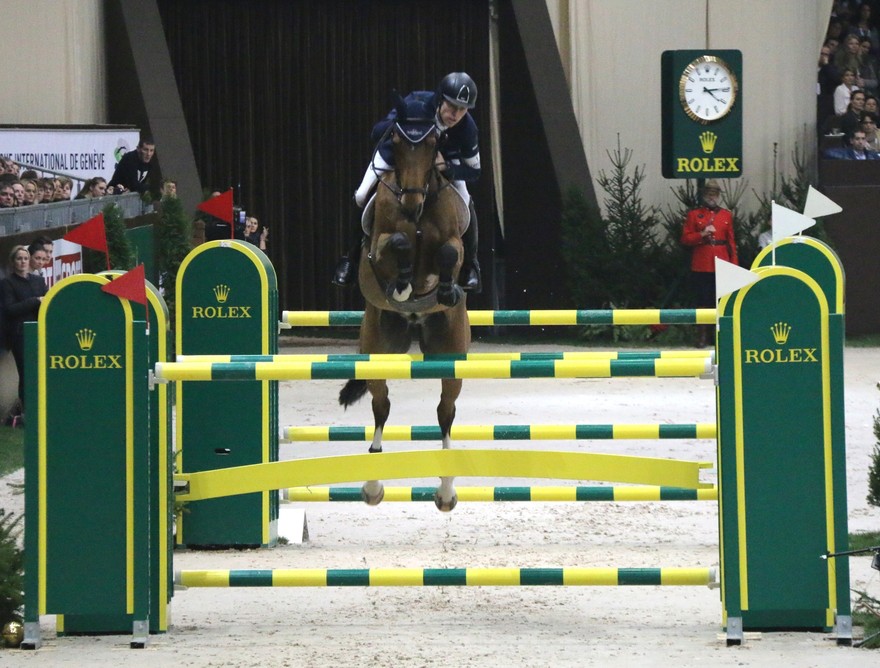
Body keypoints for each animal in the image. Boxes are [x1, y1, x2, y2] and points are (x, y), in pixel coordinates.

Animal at [339, 94, 471, 512]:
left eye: (433, 144)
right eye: (395, 141)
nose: (412, 203)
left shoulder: (452, 244)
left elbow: (448, 252)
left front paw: (442, 288)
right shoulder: (377, 249)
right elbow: (394, 243)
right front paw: (401, 283)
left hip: (450, 355)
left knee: (445, 412)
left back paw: (446, 491)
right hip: (378, 348)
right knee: (381, 408)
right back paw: (372, 485)